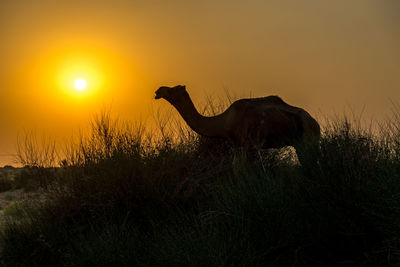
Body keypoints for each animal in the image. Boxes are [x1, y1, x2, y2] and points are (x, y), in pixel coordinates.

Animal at [155, 85, 320, 164]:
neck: (223, 122)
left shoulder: (244, 145)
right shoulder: (238, 146)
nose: (158, 90)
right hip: (300, 142)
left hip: (307, 138)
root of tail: (315, 123)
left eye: (172, 89)